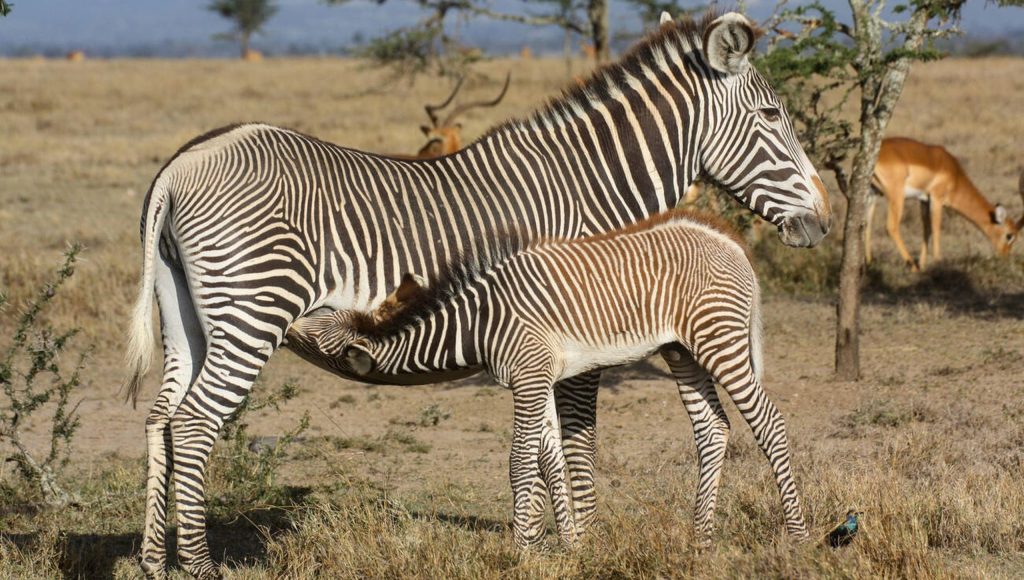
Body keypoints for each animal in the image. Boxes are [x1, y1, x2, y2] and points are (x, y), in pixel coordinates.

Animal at [285, 207, 808, 547]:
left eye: (312, 325)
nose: (284, 318)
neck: (478, 322)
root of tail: (727, 238)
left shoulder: (529, 377)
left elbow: (519, 463)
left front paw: (523, 549)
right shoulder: (537, 380)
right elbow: (550, 460)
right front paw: (569, 545)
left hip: (719, 341)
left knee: (769, 424)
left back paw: (797, 535)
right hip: (682, 350)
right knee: (712, 429)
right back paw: (700, 538)